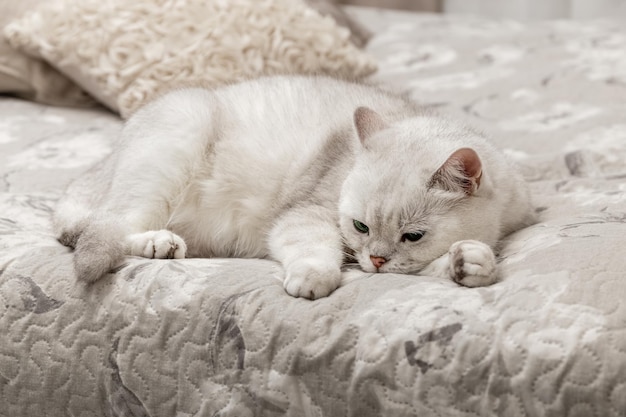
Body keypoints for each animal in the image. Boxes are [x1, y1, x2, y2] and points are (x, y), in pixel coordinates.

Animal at [53, 75, 532, 300]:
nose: (375, 259)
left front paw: (470, 263)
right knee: (104, 225)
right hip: (179, 132)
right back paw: (158, 243)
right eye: (359, 226)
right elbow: (315, 250)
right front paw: (312, 278)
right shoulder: (307, 215)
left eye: (412, 236)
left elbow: (447, 265)